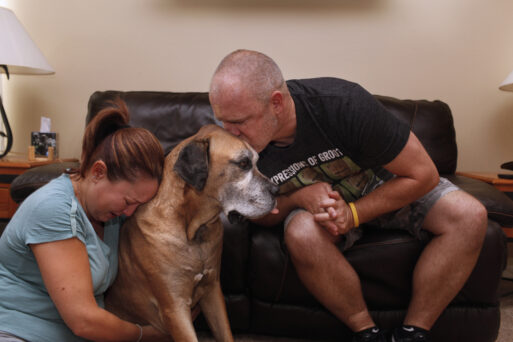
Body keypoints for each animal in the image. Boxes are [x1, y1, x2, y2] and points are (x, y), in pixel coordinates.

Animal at [105, 125, 278, 342]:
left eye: (255, 162)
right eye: (243, 163)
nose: (277, 190)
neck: (193, 230)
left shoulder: (212, 291)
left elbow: (225, 333)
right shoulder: (175, 308)